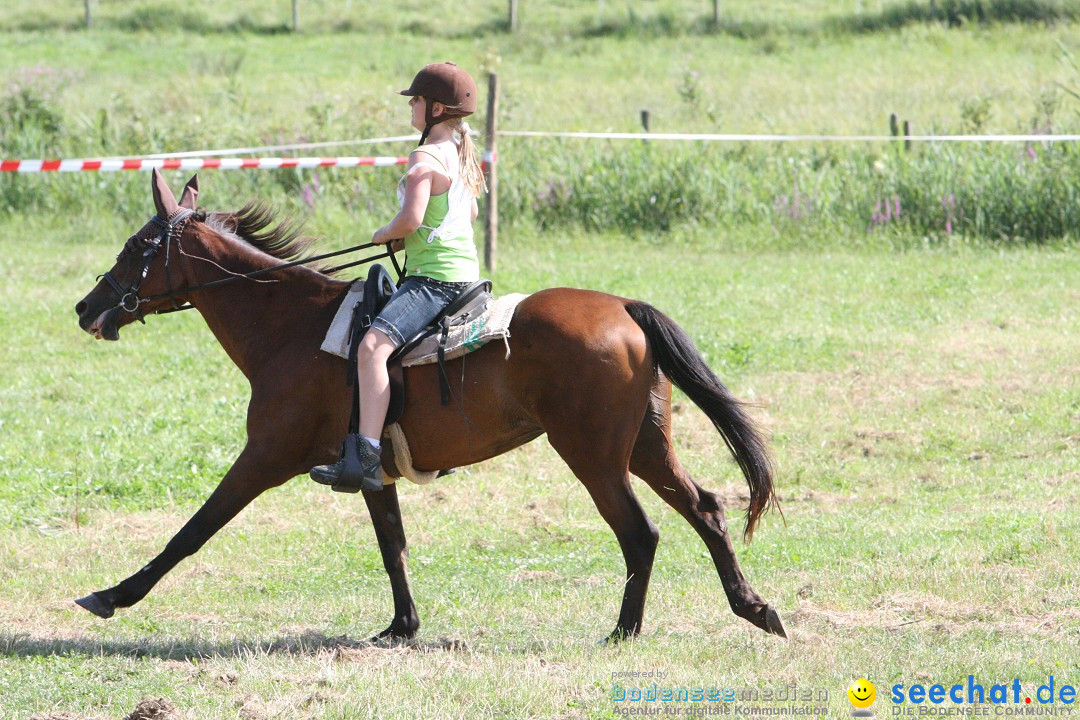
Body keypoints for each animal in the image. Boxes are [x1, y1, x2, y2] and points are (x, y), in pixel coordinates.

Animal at [73, 172, 786, 643]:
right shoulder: (370, 470)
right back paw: (754, 608)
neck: (291, 327)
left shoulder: (264, 457)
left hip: (593, 456)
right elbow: (393, 545)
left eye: (137, 247)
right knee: (706, 509)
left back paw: (624, 632)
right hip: (645, 445)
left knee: (640, 534)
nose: (85, 307)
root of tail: (623, 308)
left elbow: (192, 530)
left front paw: (113, 594)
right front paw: (401, 626)